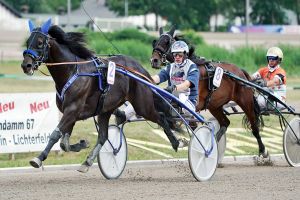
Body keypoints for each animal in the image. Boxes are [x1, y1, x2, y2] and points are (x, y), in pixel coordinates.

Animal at [21, 19, 180, 172]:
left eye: (40, 42)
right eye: (28, 42)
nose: (26, 65)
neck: (72, 71)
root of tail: (139, 69)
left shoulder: (72, 110)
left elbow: (55, 135)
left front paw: (38, 158)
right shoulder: (70, 113)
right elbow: (64, 143)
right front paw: (82, 144)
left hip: (142, 106)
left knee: (161, 117)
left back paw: (176, 142)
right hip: (105, 109)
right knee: (103, 136)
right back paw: (88, 161)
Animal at [151, 26, 268, 159]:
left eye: (166, 42)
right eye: (155, 42)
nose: (154, 60)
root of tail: (240, 72)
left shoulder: (193, 105)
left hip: (245, 102)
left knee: (254, 126)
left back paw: (263, 150)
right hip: (215, 106)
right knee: (225, 123)